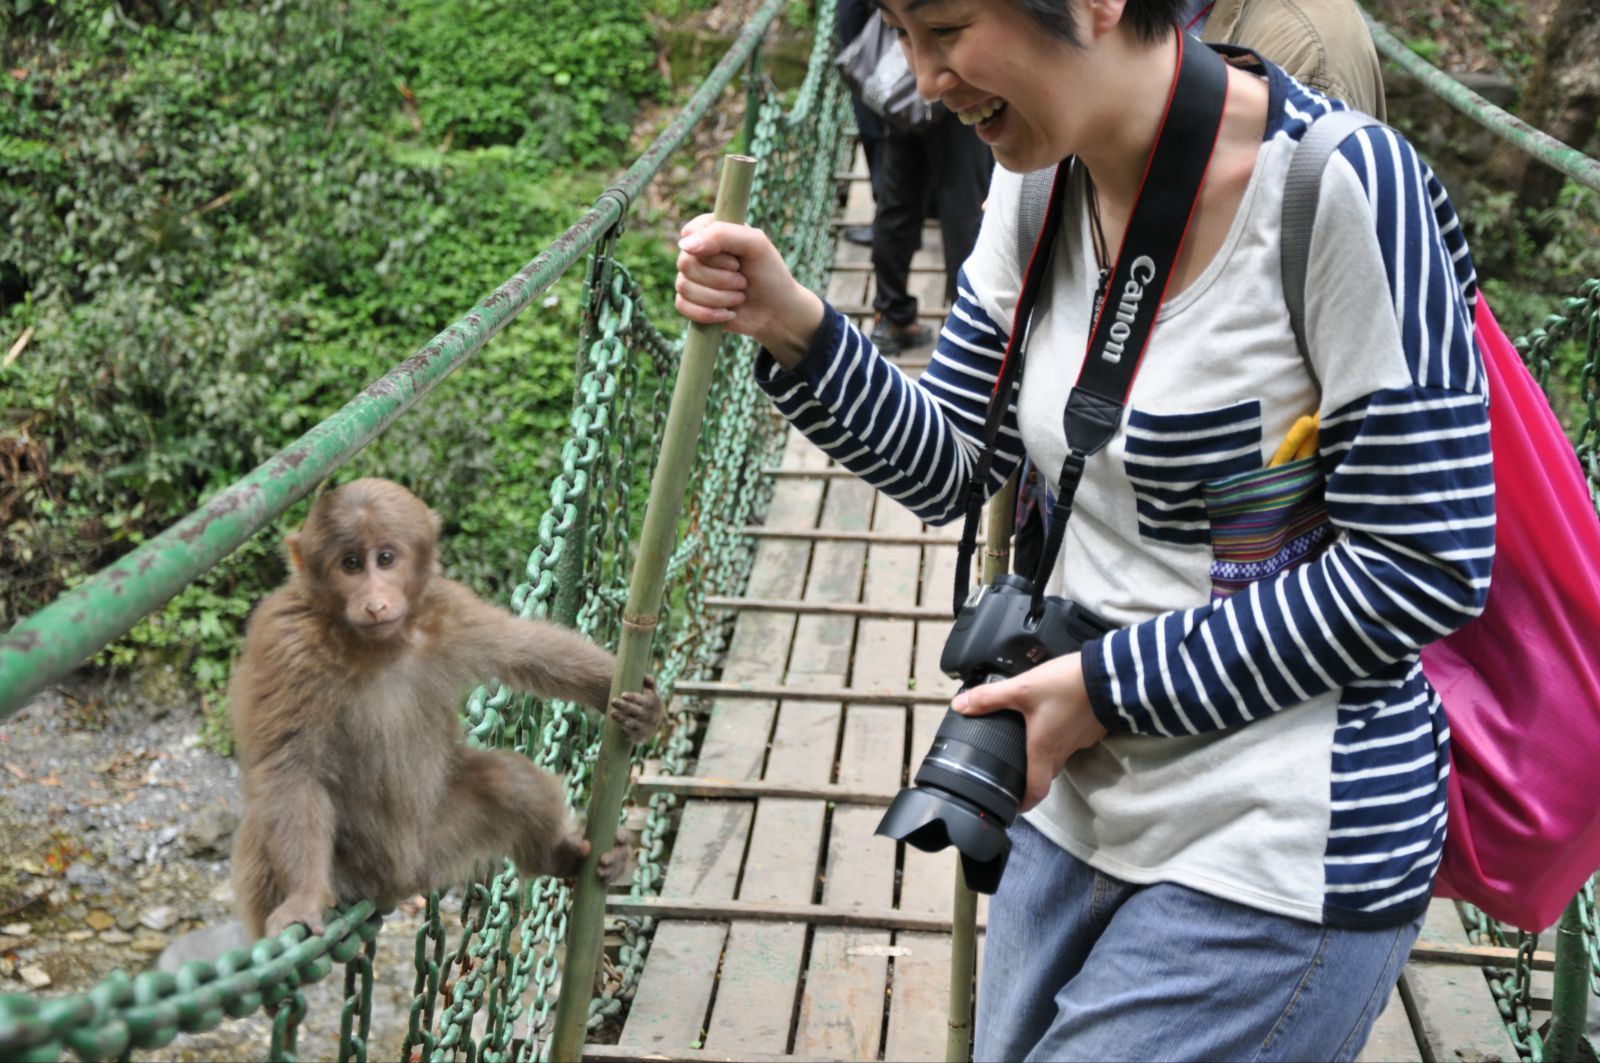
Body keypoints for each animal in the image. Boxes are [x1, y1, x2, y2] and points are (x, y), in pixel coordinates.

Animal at [227, 477, 662, 934]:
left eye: (385, 558)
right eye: (350, 564)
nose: (375, 602)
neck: (376, 646)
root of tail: (397, 883)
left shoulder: (449, 609)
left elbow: (524, 650)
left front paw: (642, 707)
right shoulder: (284, 642)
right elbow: (291, 766)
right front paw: (303, 898)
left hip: (436, 846)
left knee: (507, 781)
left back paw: (561, 858)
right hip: (351, 873)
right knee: (262, 822)